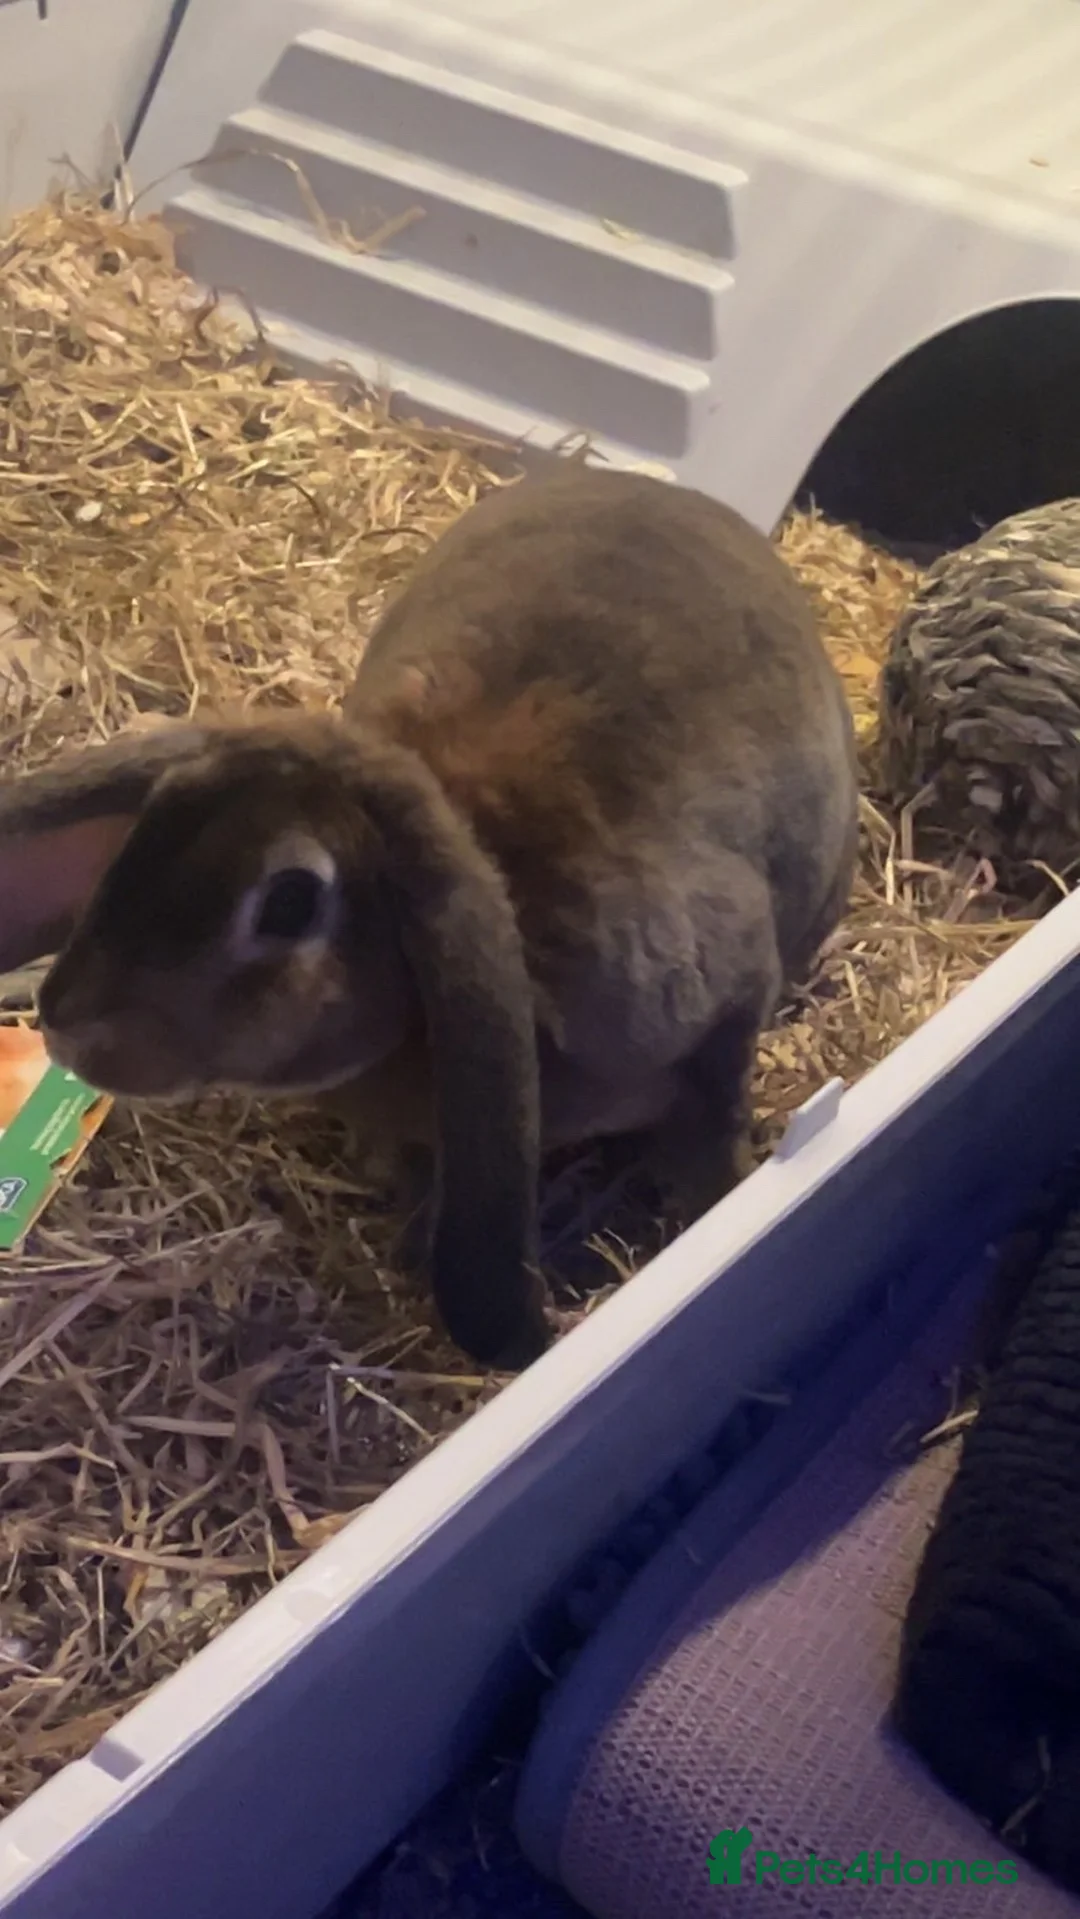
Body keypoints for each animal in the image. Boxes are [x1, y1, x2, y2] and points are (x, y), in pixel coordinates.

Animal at [0, 463, 858, 1369]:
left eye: (291, 900)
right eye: (148, 825)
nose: (66, 1022)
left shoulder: (728, 1003)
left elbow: (715, 1124)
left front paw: (720, 1197)